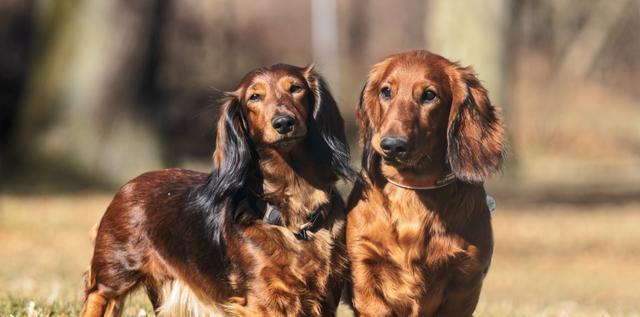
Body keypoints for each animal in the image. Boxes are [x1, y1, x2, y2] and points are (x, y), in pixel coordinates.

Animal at [80, 63, 356, 314]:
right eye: (254, 97)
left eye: (296, 88)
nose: (284, 123)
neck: (295, 217)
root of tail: (127, 186)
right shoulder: (263, 297)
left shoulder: (325, 296)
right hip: (113, 276)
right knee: (96, 298)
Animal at [344, 50, 504, 314]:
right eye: (386, 91)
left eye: (429, 95)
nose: (392, 145)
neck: (413, 190)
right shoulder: (365, 271)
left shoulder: (464, 282)